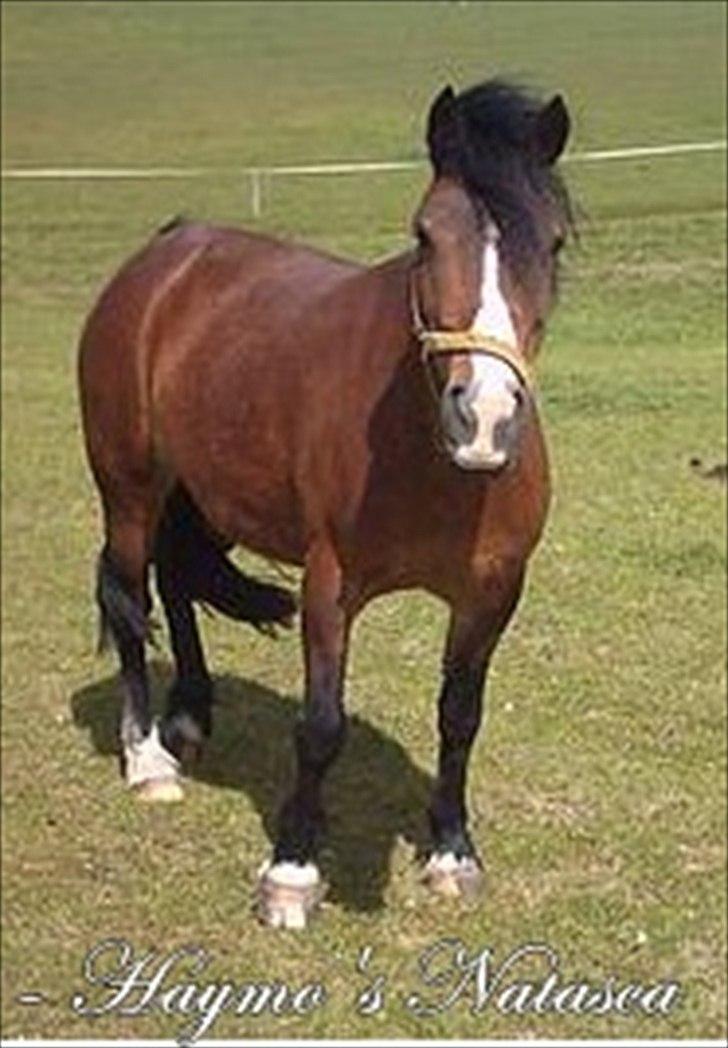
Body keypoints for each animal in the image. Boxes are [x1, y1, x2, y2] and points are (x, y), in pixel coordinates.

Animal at [78, 79, 573, 929]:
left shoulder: (492, 591)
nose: (481, 417)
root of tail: (163, 259)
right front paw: (292, 868)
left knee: (176, 578)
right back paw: (148, 758)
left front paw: (452, 851)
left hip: (203, 490)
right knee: (130, 598)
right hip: (132, 491)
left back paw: (191, 714)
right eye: (424, 234)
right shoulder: (330, 584)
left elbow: (460, 716)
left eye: (555, 244)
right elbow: (320, 726)